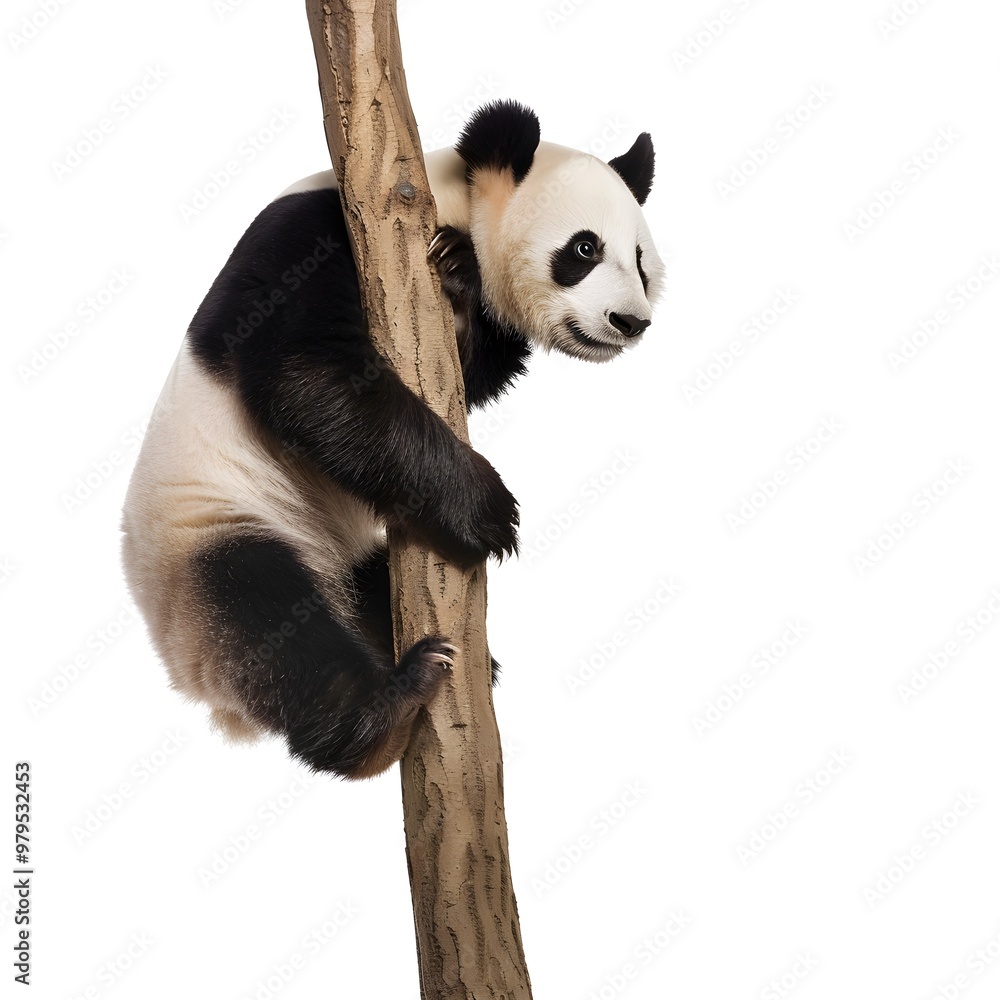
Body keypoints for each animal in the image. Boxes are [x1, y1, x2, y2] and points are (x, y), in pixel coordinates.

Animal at [121, 100, 664, 779]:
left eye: (640, 260)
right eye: (585, 248)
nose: (630, 322)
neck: (440, 194)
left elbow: (461, 370)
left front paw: (460, 273)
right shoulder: (320, 233)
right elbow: (304, 372)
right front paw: (489, 510)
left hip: (340, 549)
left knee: (365, 588)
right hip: (210, 530)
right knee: (268, 615)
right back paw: (380, 714)